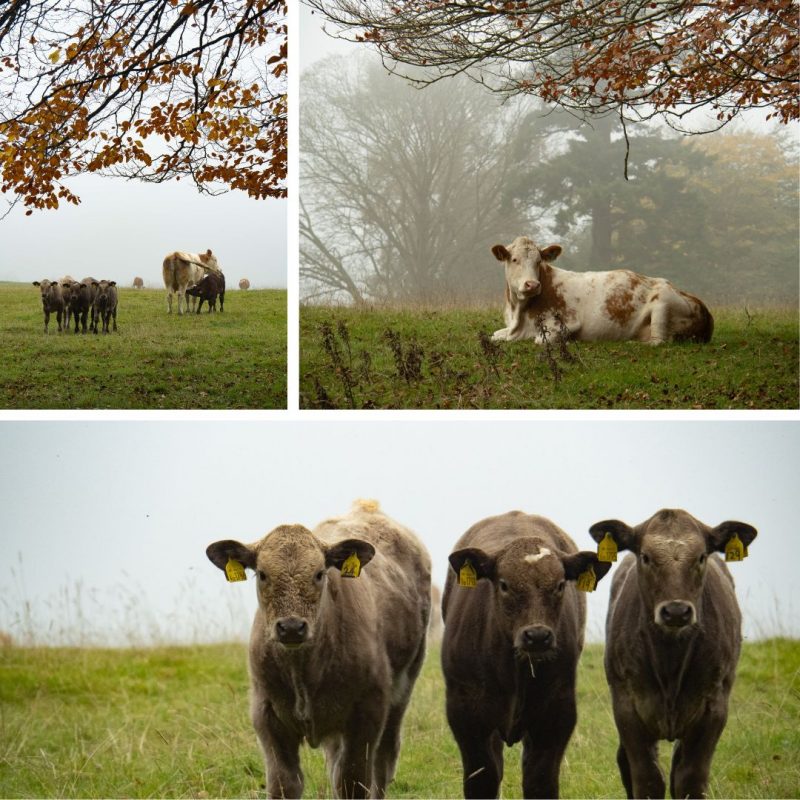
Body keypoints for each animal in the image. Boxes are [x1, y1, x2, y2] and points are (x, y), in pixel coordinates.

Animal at [206, 499, 431, 799]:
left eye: (319, 573)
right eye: (263, 574)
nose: (291, 627)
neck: (301, 672)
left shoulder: (366, 712)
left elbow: (353, 781)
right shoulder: (266, 715)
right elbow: (285, 783)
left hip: (403, 688)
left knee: (383, 759)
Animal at [442, 511, 612, 799]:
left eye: (559, 585)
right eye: (504, 584)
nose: (537, 635)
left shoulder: (556, 714)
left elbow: (539, 781)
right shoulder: (466, 714)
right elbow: (483, 779)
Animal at [490, 237, 713, 344]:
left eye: (539, 261)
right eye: (514, 259)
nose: (532, 285)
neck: (519, 314)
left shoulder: (567, 323)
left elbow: (539, 340)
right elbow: (494, 335)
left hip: (663, 301)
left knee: (659, 342)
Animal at [588, 509, 758, 800]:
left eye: (701, 556)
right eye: (646, 557)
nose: (676, 611)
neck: (670, 661)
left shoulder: (713, 709)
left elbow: (690, 779)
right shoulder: (627, 707)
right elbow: (647, 780)